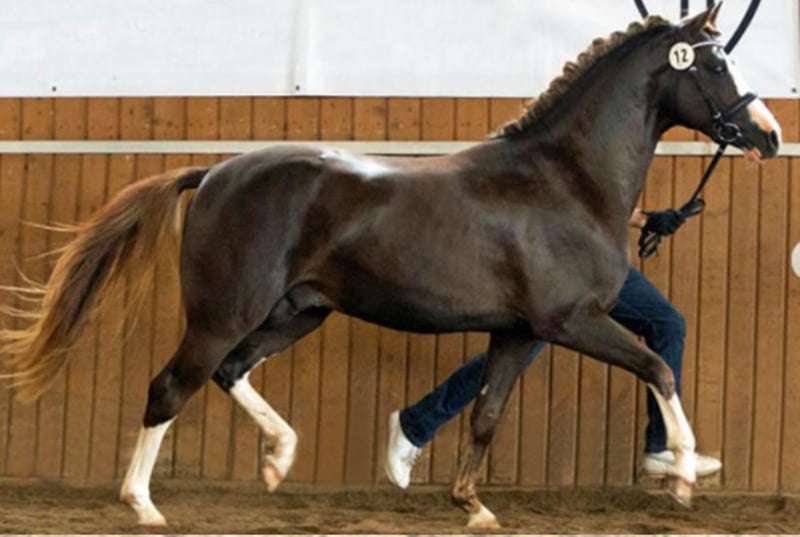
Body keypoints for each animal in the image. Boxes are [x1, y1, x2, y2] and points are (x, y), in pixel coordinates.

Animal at [0, 4, 781, 529]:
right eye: (715, 63)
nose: (768, 136)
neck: (564, 180)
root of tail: (216, 172)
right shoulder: (572, 321)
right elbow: (658, 367)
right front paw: (684, 474)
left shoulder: (518, 331)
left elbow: (487, 413)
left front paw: (473, 506)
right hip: (223, 312)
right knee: (172, 387)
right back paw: (144, 503)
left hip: (297, 312)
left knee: (229, 373)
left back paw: (279, 458)